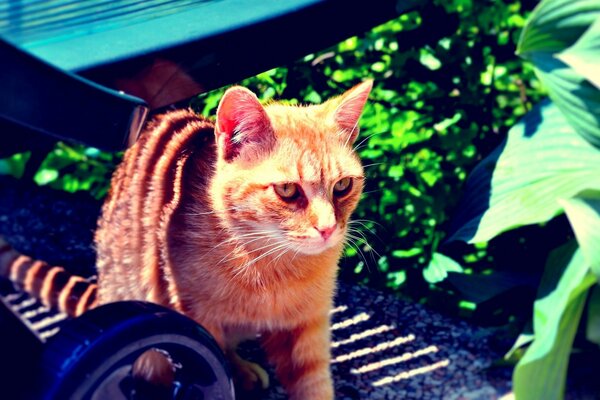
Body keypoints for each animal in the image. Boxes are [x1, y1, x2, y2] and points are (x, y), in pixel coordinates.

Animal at [0, 79, 372, 398]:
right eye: (288, 191)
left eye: (342, 186)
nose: (328, 229)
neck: (270, 262)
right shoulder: (193, 315)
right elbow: (216, 359)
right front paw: (234, 374)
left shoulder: (308, 329)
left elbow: (313, 385)